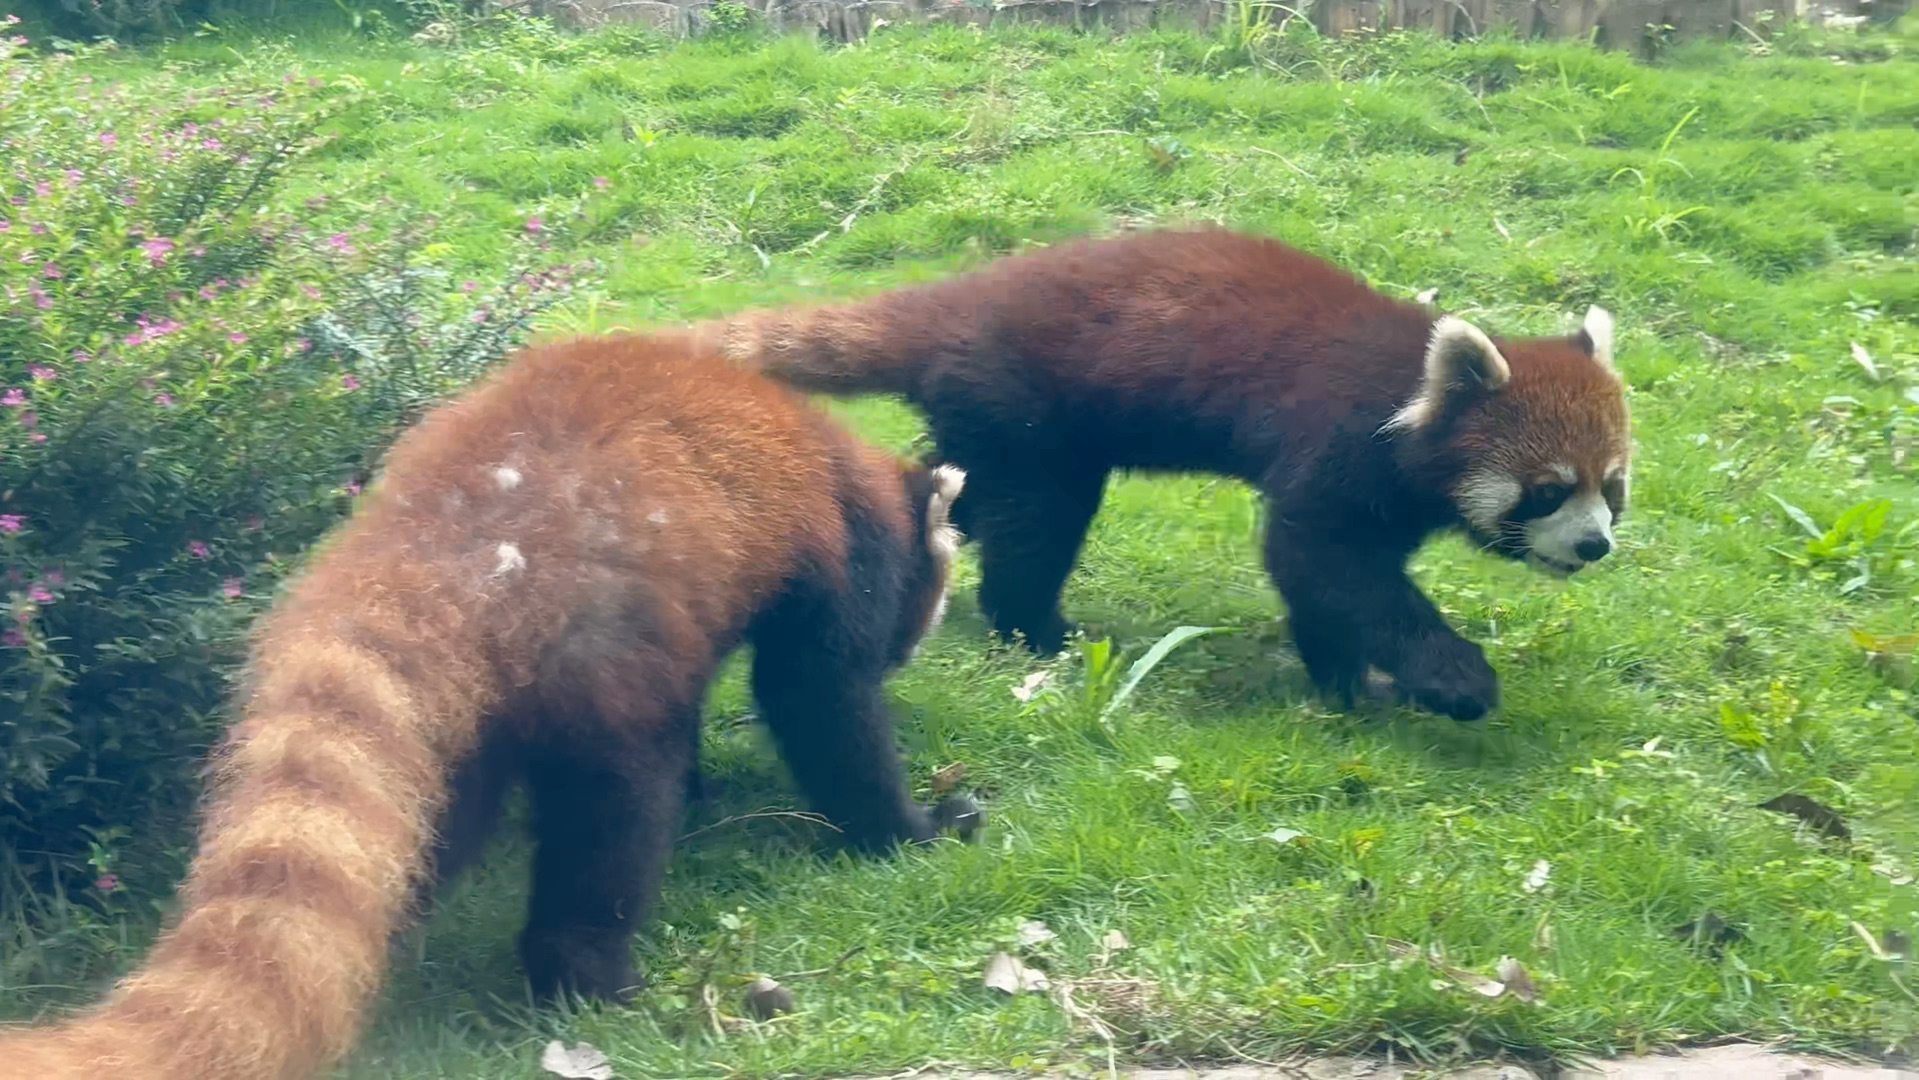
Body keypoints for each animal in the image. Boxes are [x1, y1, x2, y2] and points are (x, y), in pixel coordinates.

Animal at [0, 331, 982, 1080]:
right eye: (930, 596)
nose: (914, 644)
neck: (843, 456)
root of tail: (430, 543)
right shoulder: (841, 549)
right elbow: (820, 704)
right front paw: (913, 829)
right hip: (594, 661)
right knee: (616, 818)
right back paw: (598, 982)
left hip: (460, 723)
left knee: (405, 842)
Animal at [683, 224, 1627, 721]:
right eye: (1548, 490)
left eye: (1611, 487)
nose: (1594, 547)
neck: (1410, 394)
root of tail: (957, 300)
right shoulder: (1334, 448)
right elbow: (1326, 564)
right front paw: (1450, 679)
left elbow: (1330, 588)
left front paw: (1343, 680)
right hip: (1029, 409)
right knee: (1034, 524)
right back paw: (1036, 626)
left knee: (975, 489)